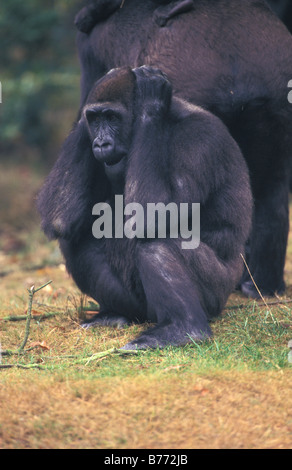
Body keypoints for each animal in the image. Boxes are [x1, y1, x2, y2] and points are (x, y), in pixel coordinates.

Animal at [37, 68, 252, 350]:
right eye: (95, 119)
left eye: (112, 117)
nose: (101, 143)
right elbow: (60, 218)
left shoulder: (199, 140)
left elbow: (153, 217)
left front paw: (151, 104)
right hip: (142, 309)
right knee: (73, 240)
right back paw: (116, 314)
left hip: (218, 295)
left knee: (155, 241)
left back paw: (186, 328)